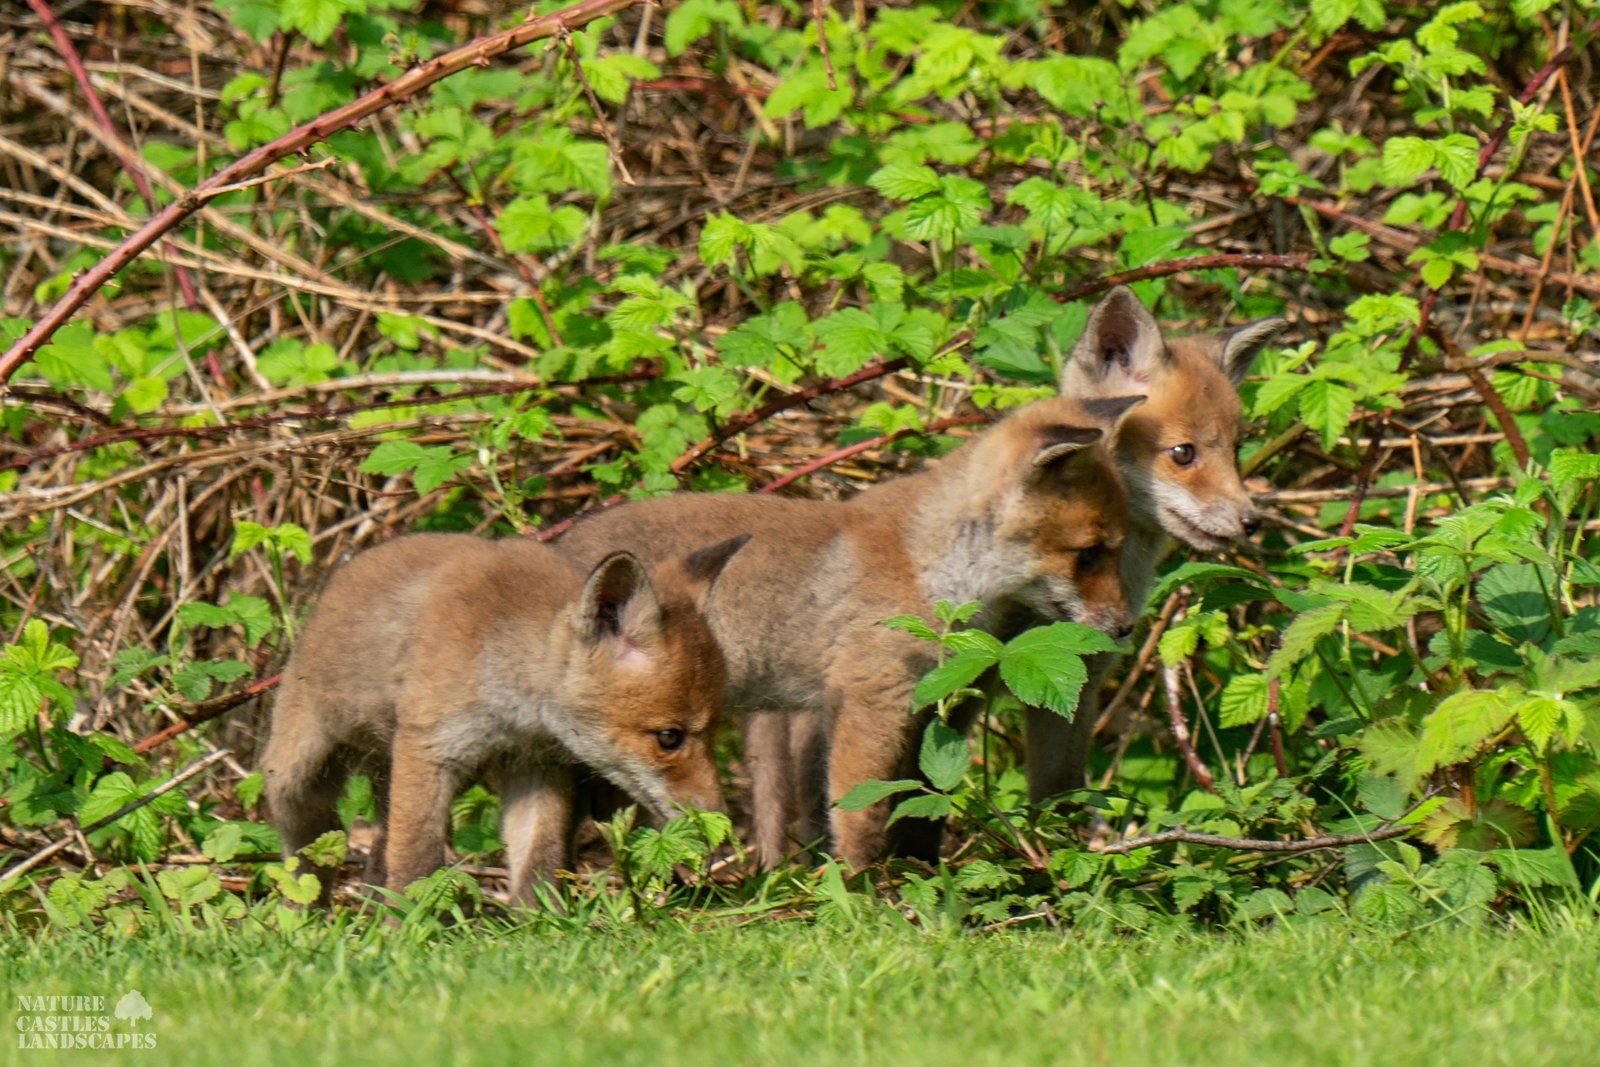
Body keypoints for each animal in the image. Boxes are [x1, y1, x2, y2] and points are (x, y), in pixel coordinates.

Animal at [259, 531, 748, 905]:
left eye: (711, 734)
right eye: (669, 737)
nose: (718, 825)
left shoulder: (537, 765)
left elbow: (539, 857)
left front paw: (539, 926)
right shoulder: (429, 750)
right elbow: (417, 861)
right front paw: (411, 934)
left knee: (379, 854)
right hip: (298, 782)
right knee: (308, 863)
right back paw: (306, 917)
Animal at [557, 393, 1143, 869]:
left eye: (1117, 550)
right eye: (1090, 554)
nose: (1125, 627)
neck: (925, 564)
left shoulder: (938, 699)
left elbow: (923, 801)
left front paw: (915, 874)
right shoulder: (870, 697)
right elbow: (861, 810)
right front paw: (863, 893)